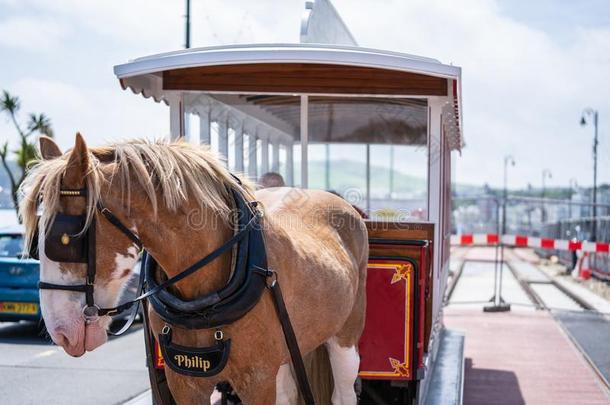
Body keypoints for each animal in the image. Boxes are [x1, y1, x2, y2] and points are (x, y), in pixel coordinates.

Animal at [20, 134, 366, 402]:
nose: (60, 332)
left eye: (66, 238)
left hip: (345, 337)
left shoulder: (257, 380)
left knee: (343, 392)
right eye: (35, 241)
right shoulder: (185, 381)